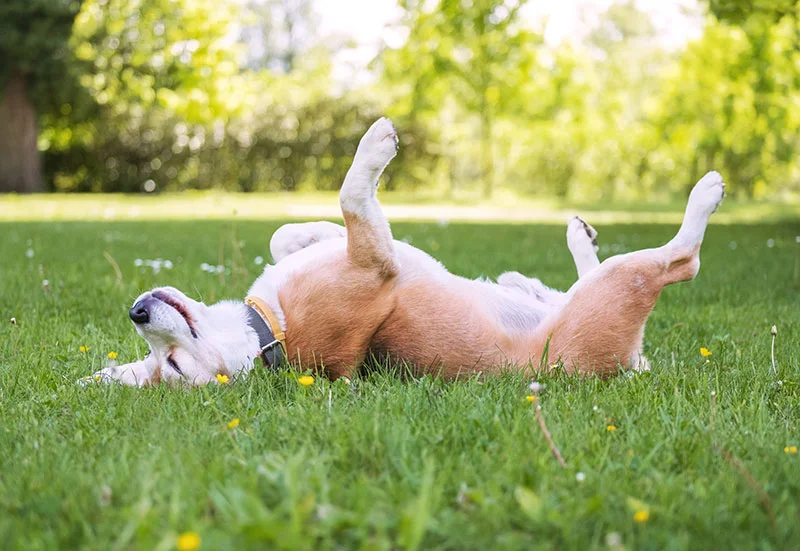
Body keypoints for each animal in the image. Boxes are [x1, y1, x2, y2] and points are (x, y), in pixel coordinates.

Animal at [83, 117, 724, 386]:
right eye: (171, 366)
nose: (137, 311)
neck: (268, 331)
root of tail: (627, 366)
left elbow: (287, 233)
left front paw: (306, 231)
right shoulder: (373, 263)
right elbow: (351, 195)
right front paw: (375, 146)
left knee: (567, 278)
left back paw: (556, 253)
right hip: (621, 285)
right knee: (680, 261)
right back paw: (704, 195)